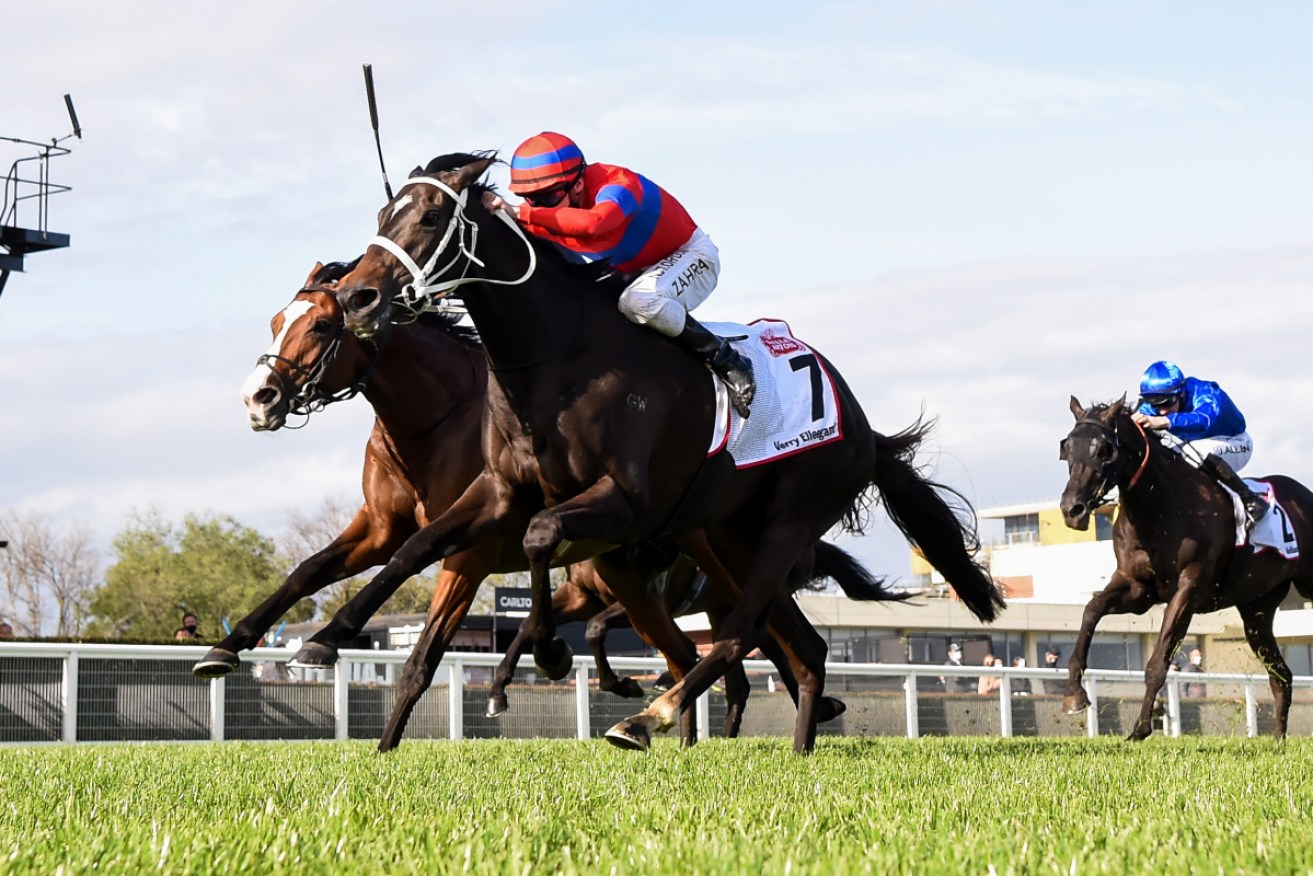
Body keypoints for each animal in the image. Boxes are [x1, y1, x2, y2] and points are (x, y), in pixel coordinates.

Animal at [196, 265, 892, 740]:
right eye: (276, 322)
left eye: (320, 325)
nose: (258, 397)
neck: (434, 419)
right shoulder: (380, 527)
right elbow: (310, 570)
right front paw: (229, 648)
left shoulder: (471, 553)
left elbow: (422, 654)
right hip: (656, 570)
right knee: (708, 650)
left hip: (717, 566)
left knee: (748, 644)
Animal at [328, 152, 1003, 756]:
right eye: (385, 213)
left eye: (431, 216)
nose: (356, 296)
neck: (559, 355)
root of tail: (863, 426)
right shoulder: (500, 492)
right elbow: (415, 547)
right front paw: (332, 633)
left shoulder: (625, 502)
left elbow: (541, 535)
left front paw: (551, 651)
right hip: (734, 537)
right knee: (804, 648)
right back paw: (798, 747)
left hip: (791, 521)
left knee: (738, 634)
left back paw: (646, 718)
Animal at [1055, 396, 1313, 740]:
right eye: (1067, 447)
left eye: (1104, 449)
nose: (1072, 509)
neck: (1162, 506)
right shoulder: (1136, 588)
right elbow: (1091, 611)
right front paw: (1074, 694)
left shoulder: (1188, 590)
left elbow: (1158, 660)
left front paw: (1141, 728)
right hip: (1257, 610)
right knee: (1281, 675)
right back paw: (1278, 738)